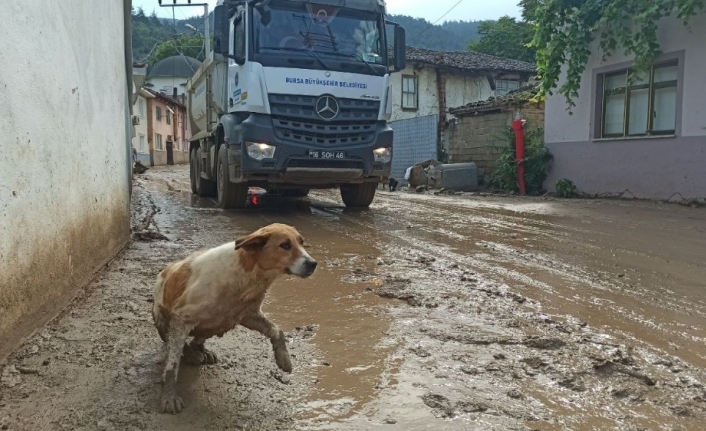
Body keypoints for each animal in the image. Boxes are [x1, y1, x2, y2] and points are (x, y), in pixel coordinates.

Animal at [151, 224, 316, 414]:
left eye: (301, 242)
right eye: (285, 245)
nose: (313, 264)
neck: (247, 275)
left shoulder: (247, 314)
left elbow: (277, 330)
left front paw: (284, 358)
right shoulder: (181, 318)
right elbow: (172, 365)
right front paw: (169, 395)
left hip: (221, 322)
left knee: (198, 339)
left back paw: (201, 351)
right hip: (161, 317)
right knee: (176, 343)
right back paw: (191, 354)